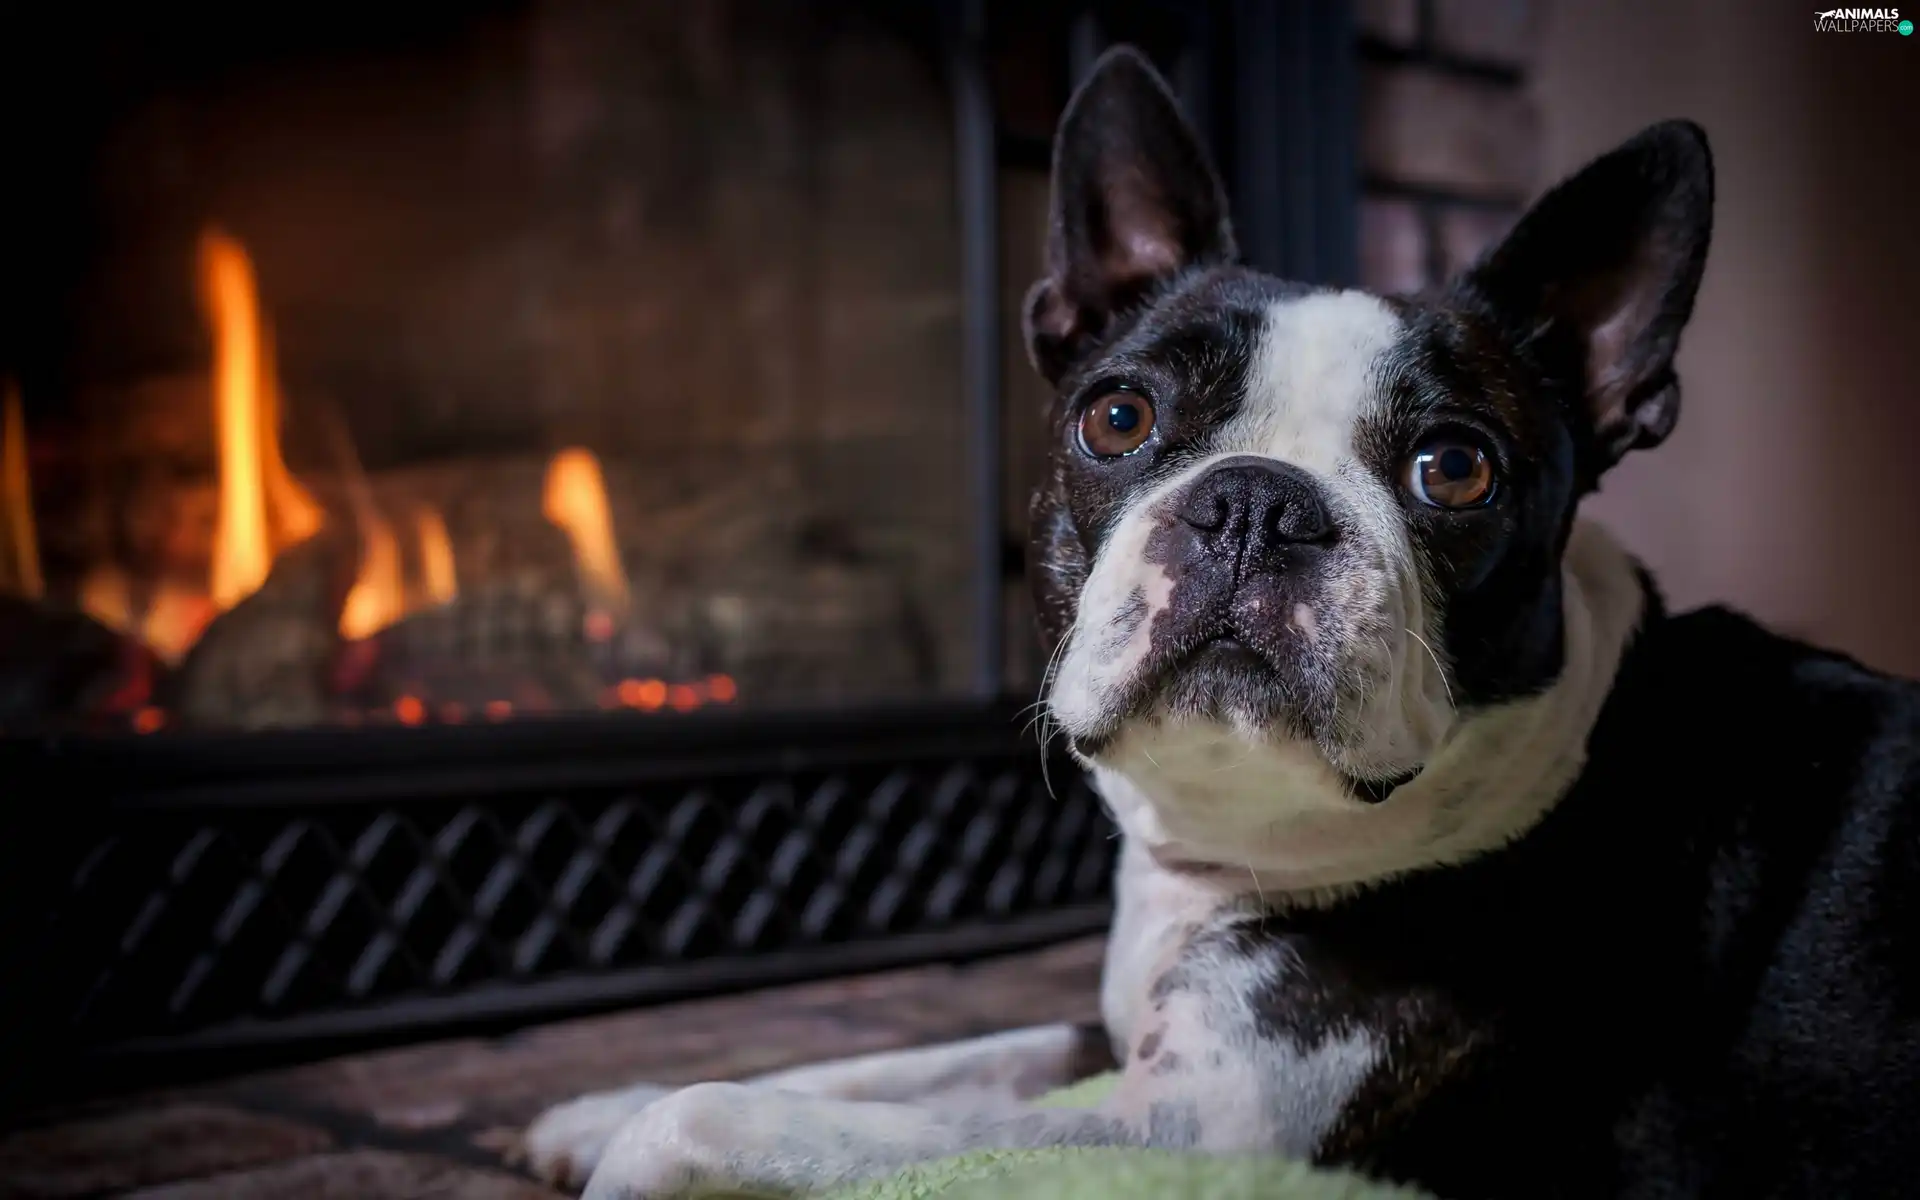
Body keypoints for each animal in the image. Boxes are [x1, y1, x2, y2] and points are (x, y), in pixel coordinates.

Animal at [518, 49, 1920, 1198]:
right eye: (1119, 417)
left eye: (1455, 470)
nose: (1257, 503)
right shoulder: (1100, 1041)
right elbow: (908, 1060)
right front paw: (596, 1104)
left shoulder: (1198, 1134)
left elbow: (733, 1113)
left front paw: (637, 1142)